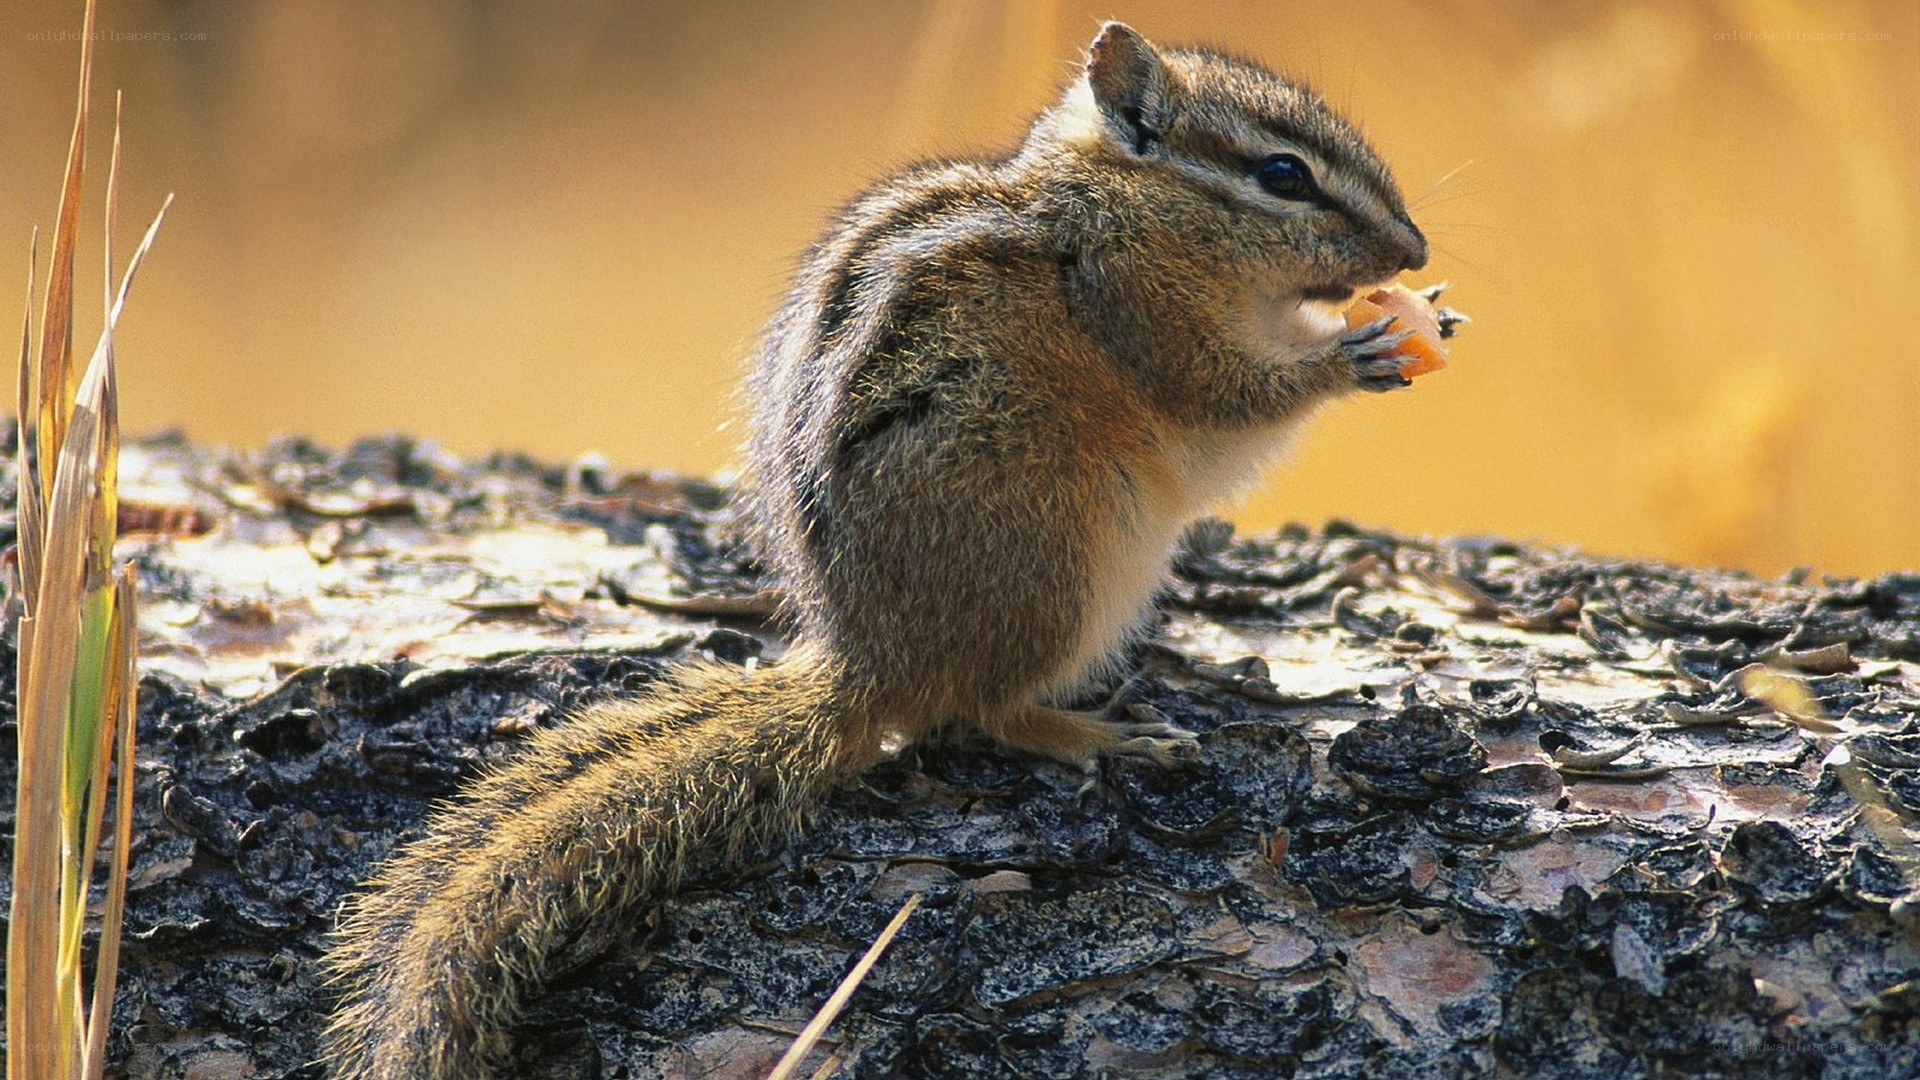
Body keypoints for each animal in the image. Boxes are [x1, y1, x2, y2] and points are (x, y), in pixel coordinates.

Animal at [322, 22, 1456, 1077]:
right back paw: (1103, 736)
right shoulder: (1147, 319)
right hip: (1060, 559)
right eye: (1283, 175)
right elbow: (1235, 395)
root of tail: (870, 663)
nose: (1416, 252)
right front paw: (1353, 354)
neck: (1114, 207)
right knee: (989, 710)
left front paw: (1423, 318)